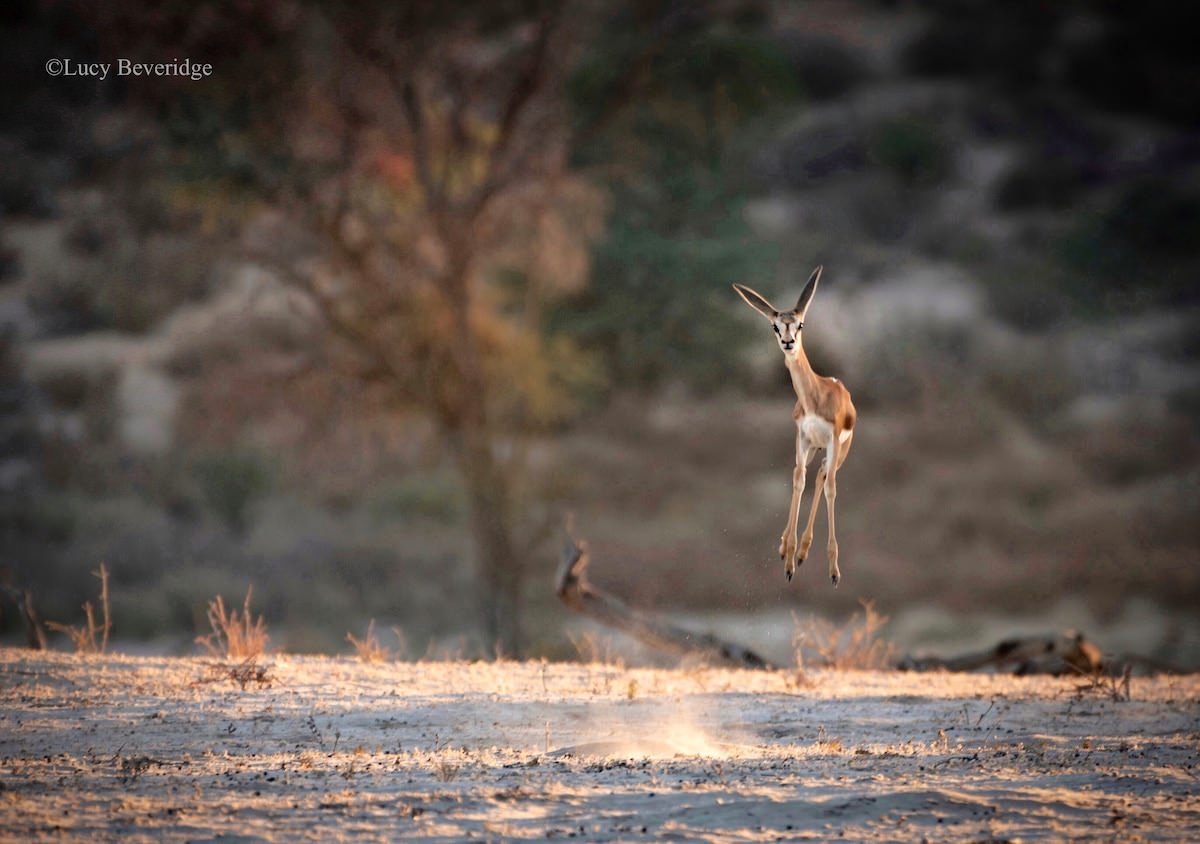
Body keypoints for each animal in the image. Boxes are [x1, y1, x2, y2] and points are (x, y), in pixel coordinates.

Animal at [729, 267, 854, 583]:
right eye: (776, 327)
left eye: (800, 324)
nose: (788, 343)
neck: (815, 396)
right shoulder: (802, 437)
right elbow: (798, 480)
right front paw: (788, 559)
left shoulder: (832, 438)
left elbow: (831, 488)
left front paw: (834, 572)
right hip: (814, 449)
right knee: (812, 475)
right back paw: (792, 550)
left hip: (839, 451)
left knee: (825, 477)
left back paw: (804, 552)